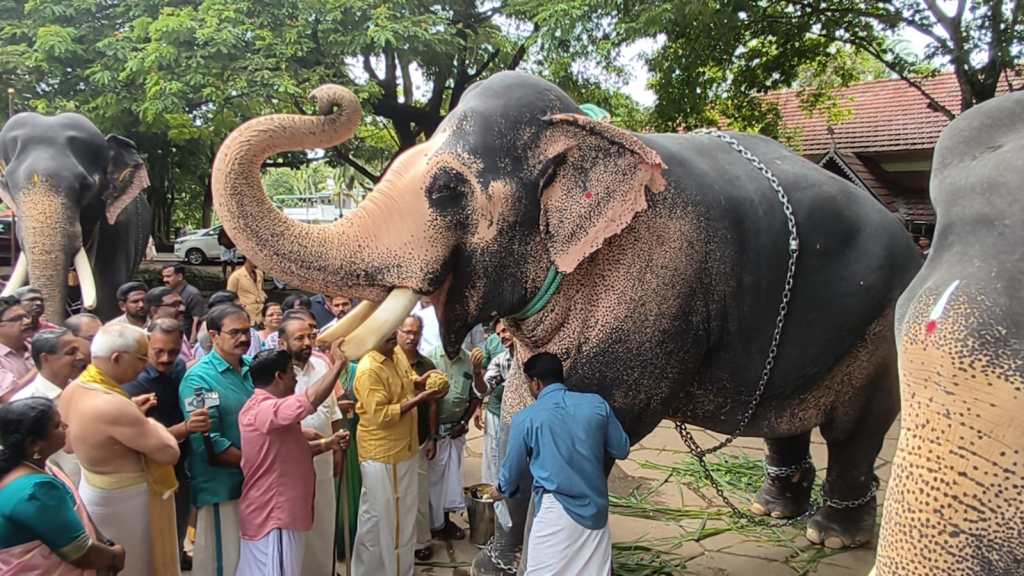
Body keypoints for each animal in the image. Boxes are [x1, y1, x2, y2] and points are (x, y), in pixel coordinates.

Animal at [211, 72, 922, 548]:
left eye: (445, 190)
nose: (326, 101)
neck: (589, 132)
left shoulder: (653, 292)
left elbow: (600, 411)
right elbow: (530, 403)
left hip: (883, 324)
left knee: (857, 424)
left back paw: (832, 535)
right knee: (787, 419)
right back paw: (775, 510)